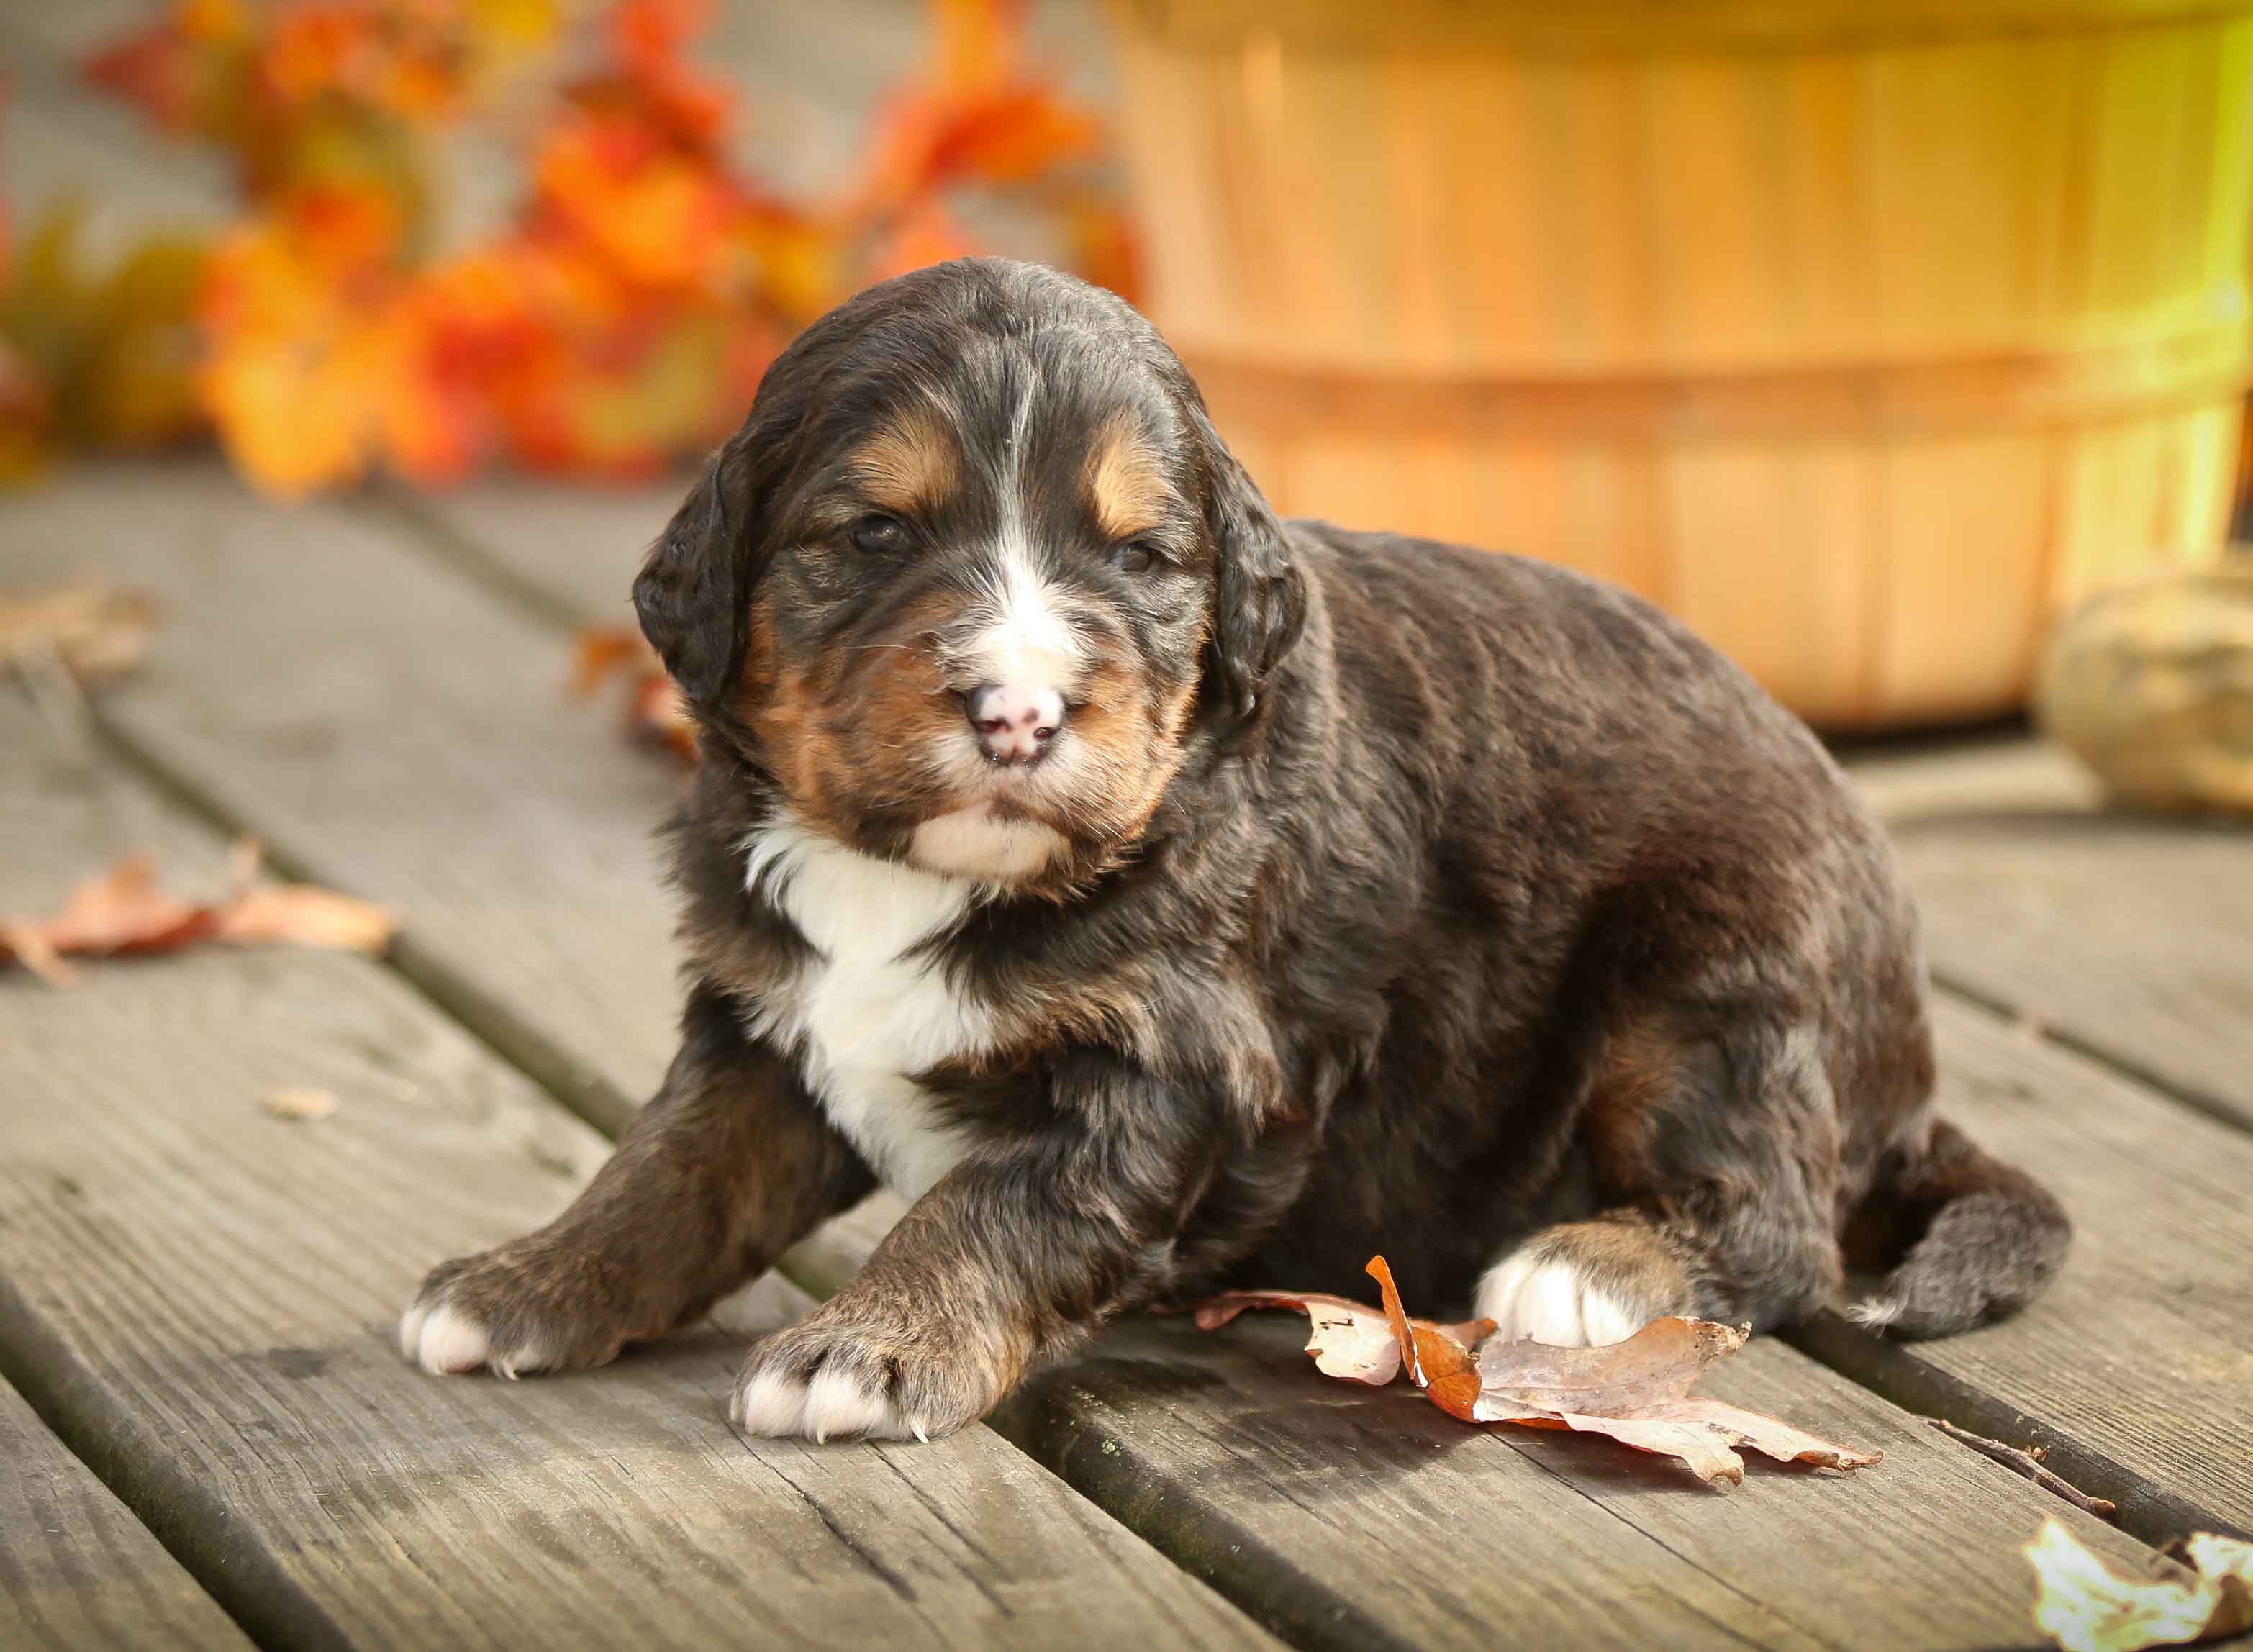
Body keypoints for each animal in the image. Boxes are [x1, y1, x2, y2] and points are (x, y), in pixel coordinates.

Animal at [401, 251, 2063, 1433]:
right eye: (875, 534)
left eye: (1140, 558)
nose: (1018, 712)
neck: (919, 876)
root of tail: (1902, 1071)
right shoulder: (769, 1019)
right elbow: (670, 1162)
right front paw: (523, 1278)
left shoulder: (1170, 1060)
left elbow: (990, 1203)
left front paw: (870, 1343)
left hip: (1717, 965)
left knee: (1779, 1226)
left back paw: (1584, 1269)